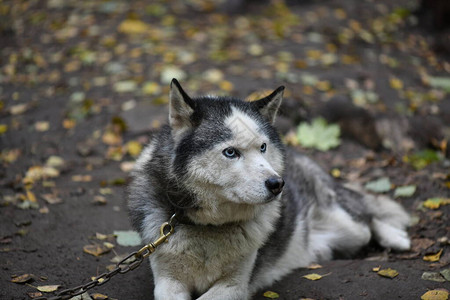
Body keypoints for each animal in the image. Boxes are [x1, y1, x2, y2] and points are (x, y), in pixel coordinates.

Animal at [127, 79, 412, 300]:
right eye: (230, 152)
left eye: (263, 147)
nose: (277, 184)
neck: (208, 229)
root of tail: (301, 156)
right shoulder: (167, 282)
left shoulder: (234, 285)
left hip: (350, 228)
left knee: (367, 217)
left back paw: (396, 237)